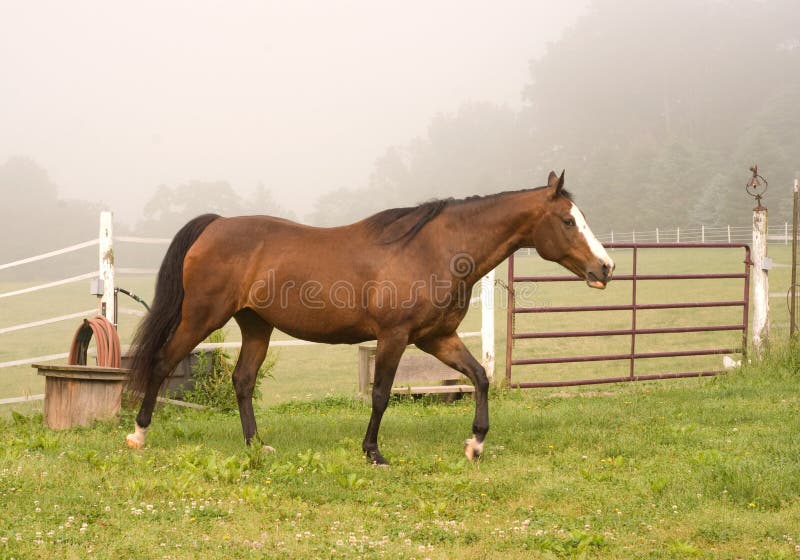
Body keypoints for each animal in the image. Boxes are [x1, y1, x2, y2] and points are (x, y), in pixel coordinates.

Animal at [125, 170, 614, 465]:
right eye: (568, 221)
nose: (606, 267)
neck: (432, 248)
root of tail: (216, 224)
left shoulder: (437, 338)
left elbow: (479, 376)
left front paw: (475, 443)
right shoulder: (394, 337)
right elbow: (380, 394)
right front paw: (373, 452)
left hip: (256, 324)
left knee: (242, 381)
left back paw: (256, 446)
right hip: (201, 318)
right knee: (162, 364)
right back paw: (138, 435)